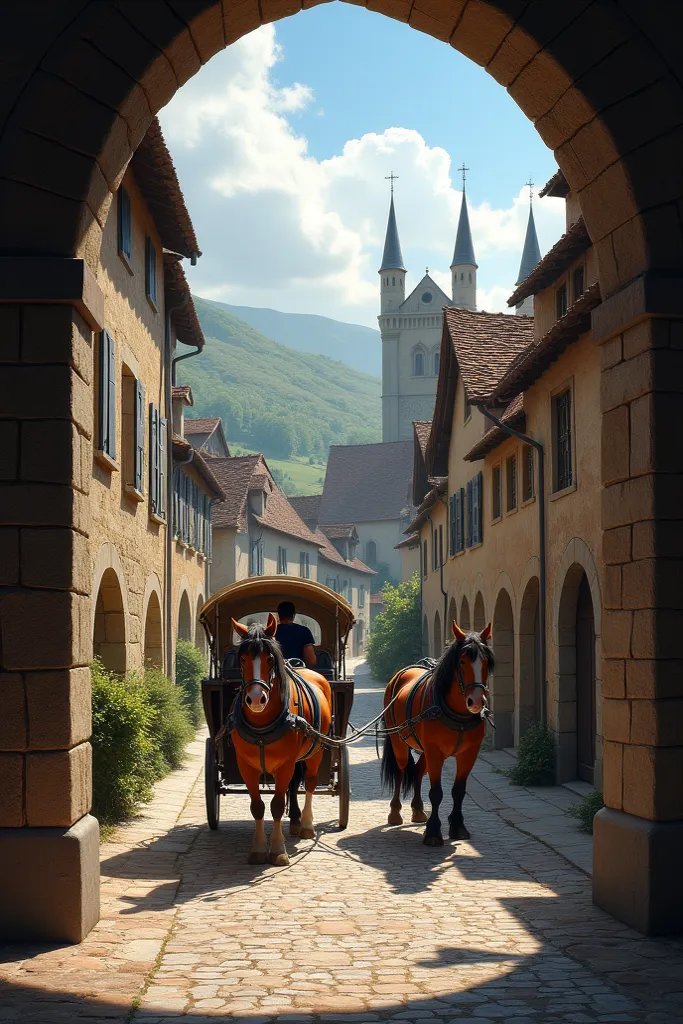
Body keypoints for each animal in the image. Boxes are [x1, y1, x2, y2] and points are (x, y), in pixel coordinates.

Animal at [229, 614, 333, 864]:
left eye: (269, 658)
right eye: (243, 658)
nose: (256, 699)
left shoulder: (285, 764)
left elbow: (276, 805)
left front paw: (277, 850)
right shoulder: (246, 766)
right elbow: (257, 806)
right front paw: (258, 849)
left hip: (316, 750)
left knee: (310, 783)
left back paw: (306, 825)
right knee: (294, 785)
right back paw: (295, 821)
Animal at [382, 622, 493, 847]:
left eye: (486, 661)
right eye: (462, 661)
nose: (476, 702)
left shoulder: (469, 753)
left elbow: (458, 790)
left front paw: (458, 826)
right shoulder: (435, 752)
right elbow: (436, 793)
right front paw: (433, 832)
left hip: (424, 750)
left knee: (417, 772)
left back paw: (417, 810)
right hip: (399, 742)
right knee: (400, 771)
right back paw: (395, 812)